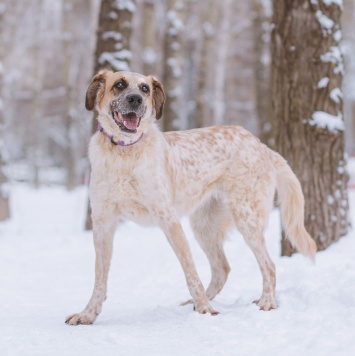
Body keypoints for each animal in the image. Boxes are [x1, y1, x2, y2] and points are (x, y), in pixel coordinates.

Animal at [65, 69, 318, 326]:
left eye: (145, 89)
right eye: (119, 84)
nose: (135, 99)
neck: (124, 153)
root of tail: (262, 146)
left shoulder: (169, 219)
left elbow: (190, 271)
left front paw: (206, 310)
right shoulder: (103, 223)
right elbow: (99, 278)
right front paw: (88, 313)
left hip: (246, 218)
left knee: (269, 265)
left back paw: (265, 301)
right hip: (204, 227)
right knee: (222, 268)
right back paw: (196, 303)